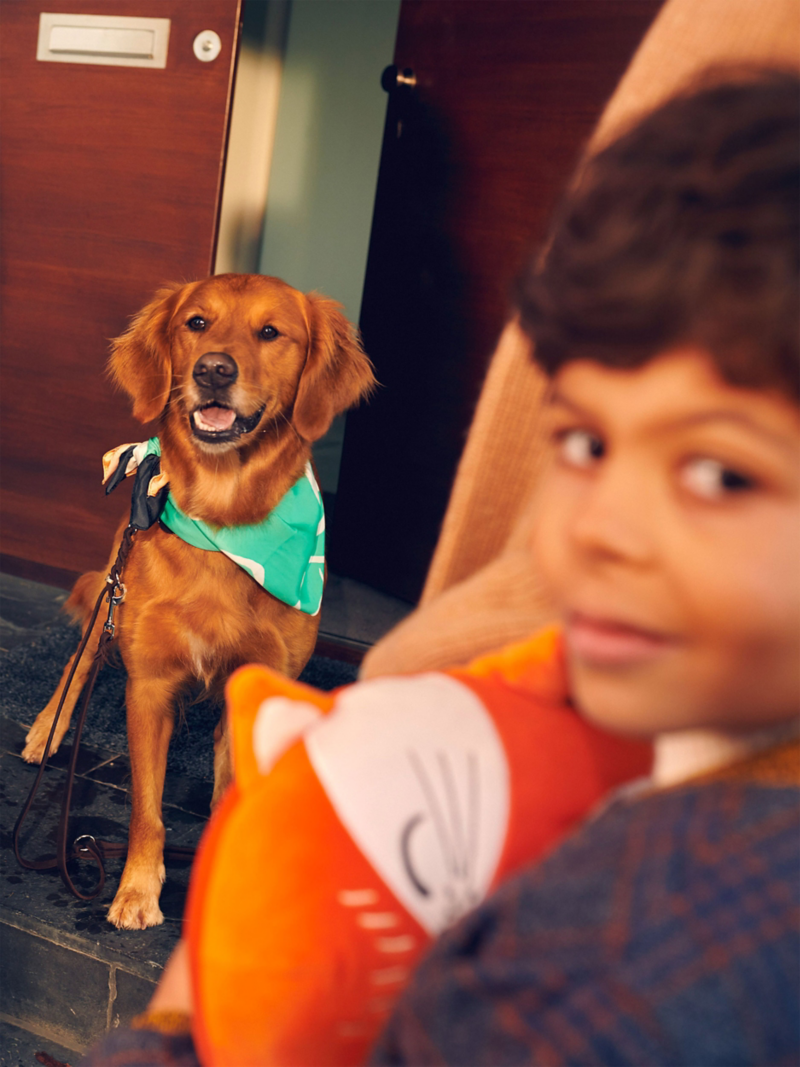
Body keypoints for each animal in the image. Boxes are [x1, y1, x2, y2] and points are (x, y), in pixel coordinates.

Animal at [21, 273, 377, 926]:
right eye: (197, 324)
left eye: (270, 332)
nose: (213, 370)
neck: (226, 518)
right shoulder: (150, 687)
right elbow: (147, 812)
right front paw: (137, 889)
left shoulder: (260, 685)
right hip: (111, 594)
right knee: (80, 659)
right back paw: (44, 731)